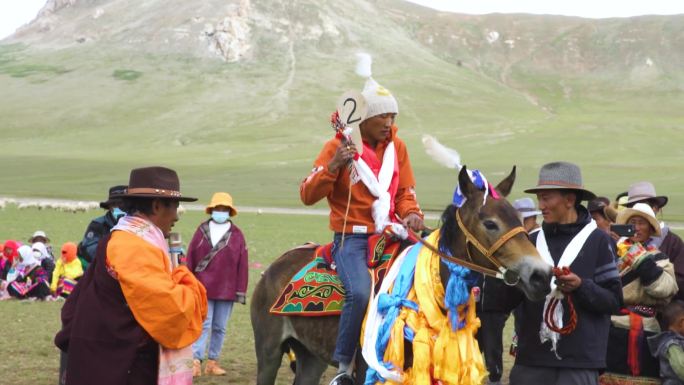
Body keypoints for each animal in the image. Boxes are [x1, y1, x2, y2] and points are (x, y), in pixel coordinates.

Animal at [250, 166, 552, 384]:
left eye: (518, 218)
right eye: (490, 223)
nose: (541, 275)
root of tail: (273, 268)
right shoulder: (370, 370)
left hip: (311, 356)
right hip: (269, 352)